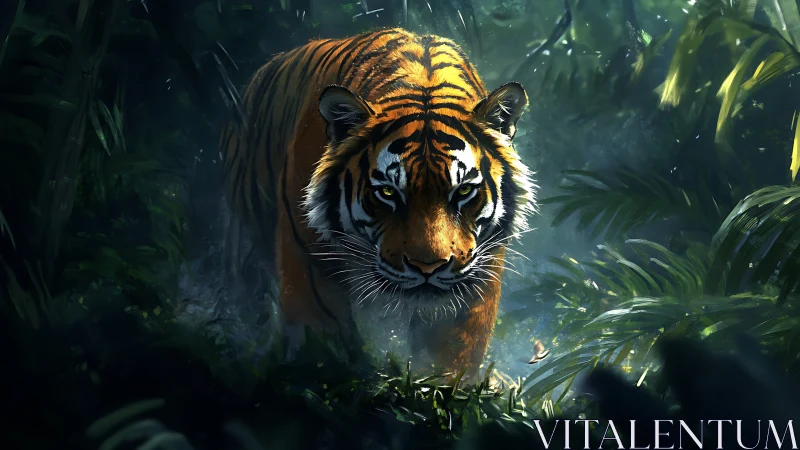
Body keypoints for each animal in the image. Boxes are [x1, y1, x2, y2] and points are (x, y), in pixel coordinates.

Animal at [219, 27, 536, 378]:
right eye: (388, 193)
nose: (428, 267)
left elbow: (450, 354)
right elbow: (321, 337)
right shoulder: (308, 253)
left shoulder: (477, 271)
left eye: (463, 190)